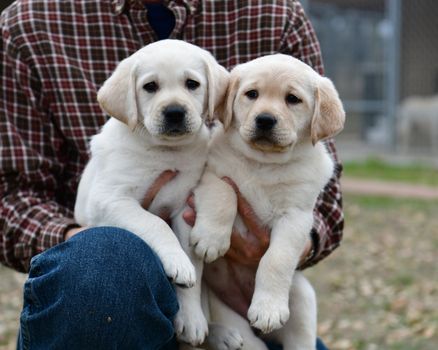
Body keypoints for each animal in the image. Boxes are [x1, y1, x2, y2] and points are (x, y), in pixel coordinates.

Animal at [73, 40, 228, 344]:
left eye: (192, 84)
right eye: (150, 86)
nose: (175, 112)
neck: (164, 150)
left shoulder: (184, 209)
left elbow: (195, 269)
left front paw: (191, 317)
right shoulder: (111, 199)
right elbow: (155, 223)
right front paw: (177, 262)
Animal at [192, 54, 346, 350]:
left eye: (293, 99)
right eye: (252, 94)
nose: (264, 119)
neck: (264, 164)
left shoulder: (296, 216)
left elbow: (276, 259)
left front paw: (268, 309)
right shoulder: (213, 174)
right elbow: (224, 196)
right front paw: (211, 239)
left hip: (301, 299)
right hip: (228, 316)